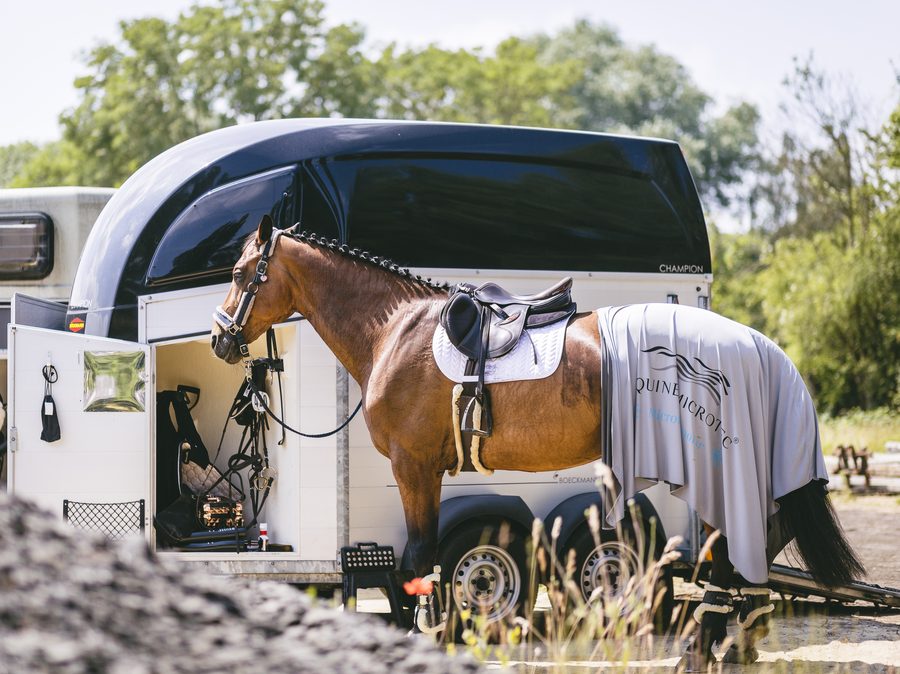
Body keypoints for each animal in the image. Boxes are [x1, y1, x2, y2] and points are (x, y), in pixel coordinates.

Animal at [210, 215, 864, 668]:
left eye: (242, 275)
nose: (220, 341)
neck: (395, 330)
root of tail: (757, 345)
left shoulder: (414, 467)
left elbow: (419, 559)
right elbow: (422, 564)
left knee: (743, 545)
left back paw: (714, 639)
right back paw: (730, 637)